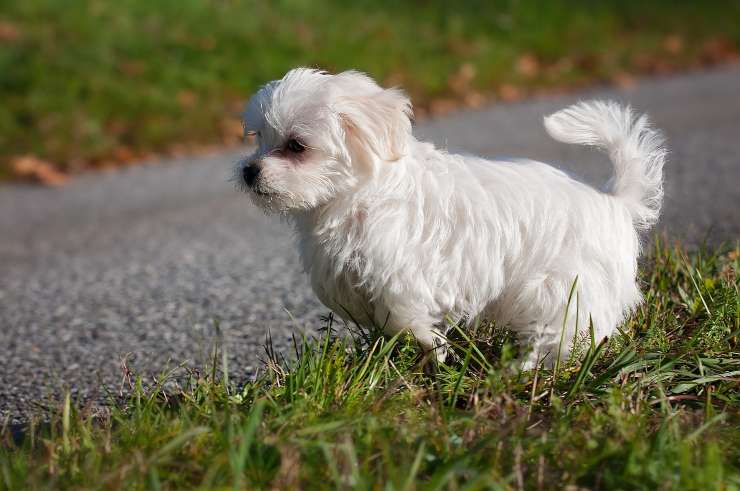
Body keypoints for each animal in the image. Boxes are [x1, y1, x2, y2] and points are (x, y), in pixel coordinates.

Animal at [236, 69, 664, 368]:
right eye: (258, 138)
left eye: (296, 146)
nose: (249, 171)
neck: (358, 195)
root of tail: (613, 201)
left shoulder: (400, 278)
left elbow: (407, 320)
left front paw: (433, 353)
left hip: (562, 286)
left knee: (567, 332)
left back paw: (526, 370)